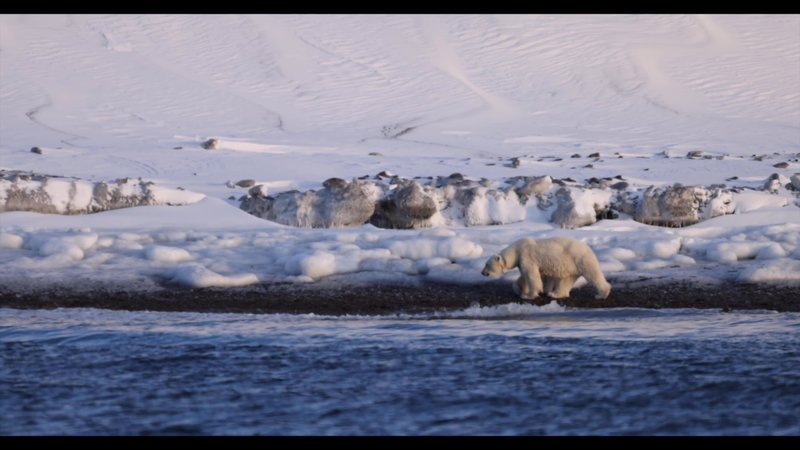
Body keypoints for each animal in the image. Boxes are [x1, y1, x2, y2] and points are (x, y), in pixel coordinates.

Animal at [482, 237, 612, 300]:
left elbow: (531, 276)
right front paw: (519, 289)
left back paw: (601, 294)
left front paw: (528, 295)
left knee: (593, 274)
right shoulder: (523, 261)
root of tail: (589, 249)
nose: (482, 272)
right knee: (566, 280)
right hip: (572, 265)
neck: (516, 250)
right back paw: (555, 294)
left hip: (580, 258)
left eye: (487, 265)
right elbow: (527, 276)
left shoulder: (526, 256)